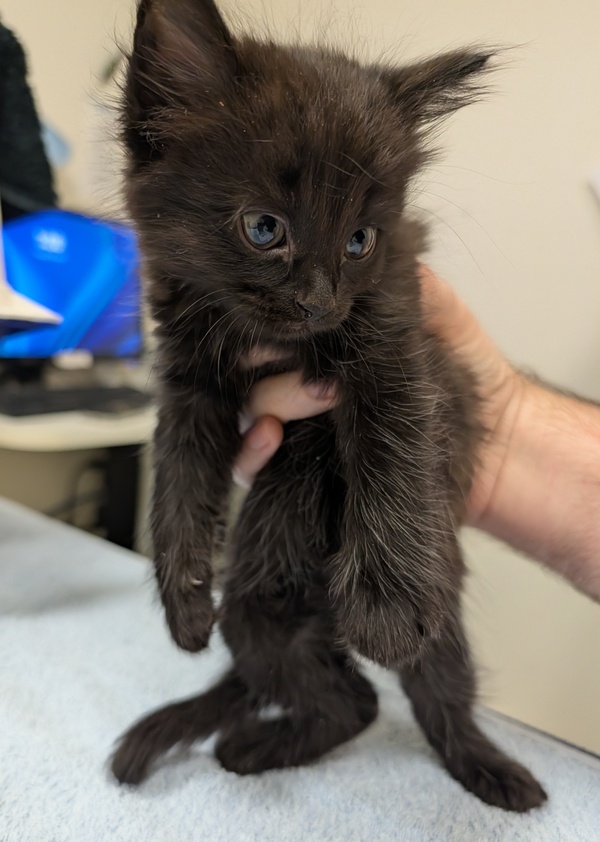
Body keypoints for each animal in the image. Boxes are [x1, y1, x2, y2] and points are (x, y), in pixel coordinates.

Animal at [111, 0, 547, 812]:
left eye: (360, 240)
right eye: (264, 228)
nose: (319, 303)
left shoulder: (398, 333)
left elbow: (392, 438)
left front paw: (384, 606)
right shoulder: (189, 379)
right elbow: (178, 479)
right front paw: (182, 599)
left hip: (437, 603)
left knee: (431, 692)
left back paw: (490, 770)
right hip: (257, 606)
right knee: (352, 701)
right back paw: (253, 745)